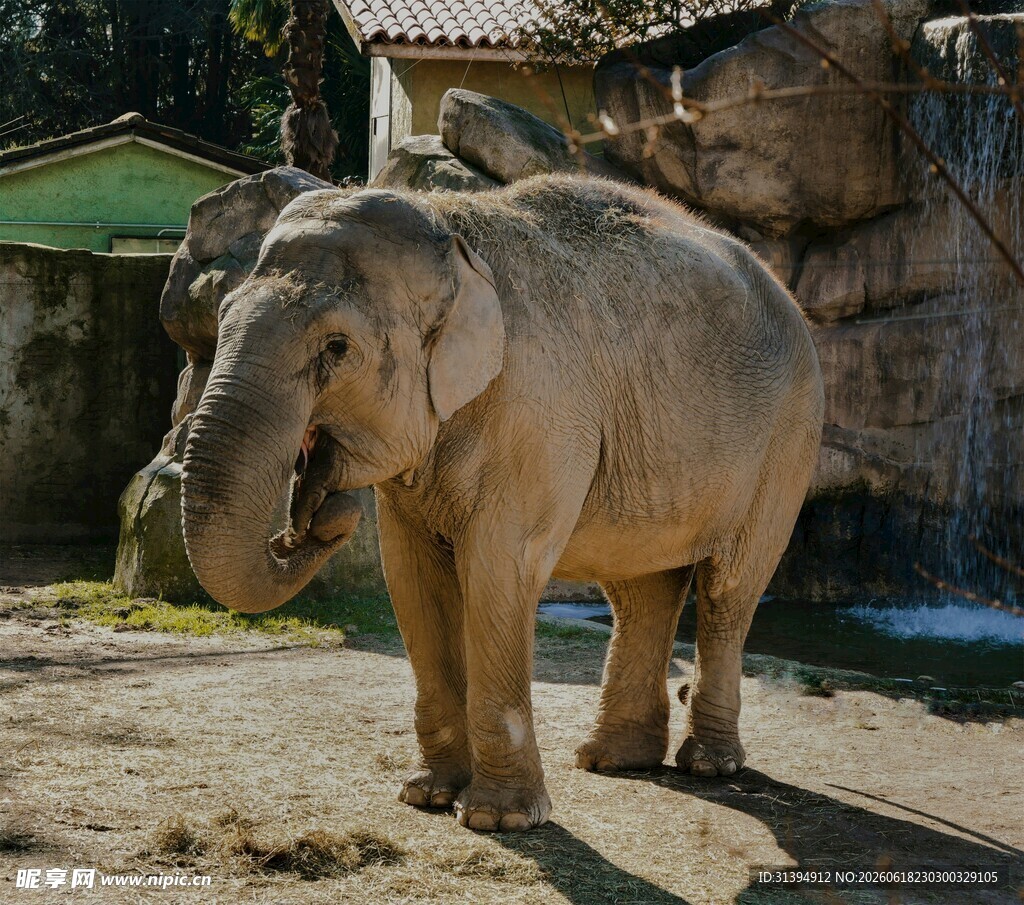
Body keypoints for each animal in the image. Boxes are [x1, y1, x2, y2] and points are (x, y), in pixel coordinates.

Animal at [180, 174, 824, 832]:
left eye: (336, 347)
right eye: (221, 317)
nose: (320, 516)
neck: (453, 233)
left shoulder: (540, 411)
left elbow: (498, 568)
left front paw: (498, 820)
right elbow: (411, 576)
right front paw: (428, 796)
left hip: (786, 441)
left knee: (729, 587)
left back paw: (708, 765)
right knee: (641, 589)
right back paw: (613, 760)